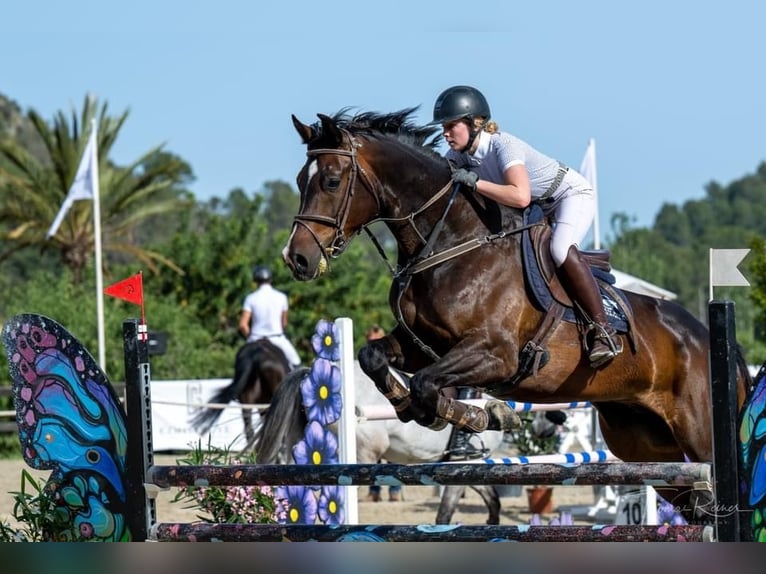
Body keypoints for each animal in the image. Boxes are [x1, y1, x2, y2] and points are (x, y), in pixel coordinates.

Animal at [252, 362, 561, 524]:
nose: (547, 429)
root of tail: (311, 375)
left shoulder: (466, 464)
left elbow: (493, 500)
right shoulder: (463, 461)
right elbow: (445, 513)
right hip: (360, 456)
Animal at [282, 108, 752, 519]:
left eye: (331, 180)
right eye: (300, 180)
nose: (297, 259)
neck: (450, 244)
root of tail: (710, 338)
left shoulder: (494, 354)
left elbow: (428, 384)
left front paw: (479, 415)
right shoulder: (425, 345)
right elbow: (375, 357)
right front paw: (422, 410)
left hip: (699, 433)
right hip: (642, 443)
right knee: (692, 501)